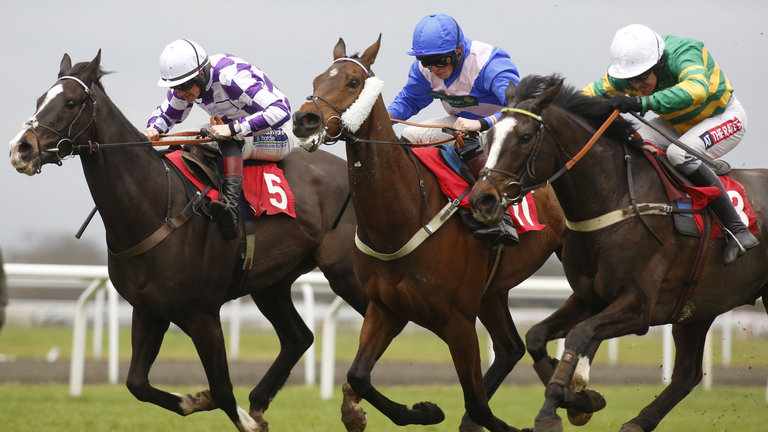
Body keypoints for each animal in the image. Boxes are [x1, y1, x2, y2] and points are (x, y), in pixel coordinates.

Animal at [9, 51, 368, 432]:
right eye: (40, 100)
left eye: (71, 102)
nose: (21, 148)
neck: (154, 207)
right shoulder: (148, 309)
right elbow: (137, 383)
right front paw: (199, 400)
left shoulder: (201, 314)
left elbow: (223, 388)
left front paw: (239, 417)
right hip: (271, 283)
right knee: (299, 337)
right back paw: (261, 400)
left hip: (348, 274)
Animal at [292, 36, 568, 432]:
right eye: (317, 80)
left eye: (352, 82)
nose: (304, 120)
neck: (403, 217)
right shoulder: (386, 308)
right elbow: (358, 375)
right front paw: (422, 411)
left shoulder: (458, 321)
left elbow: (477, 403)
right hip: (491, 291)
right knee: (509, 348)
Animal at [468, 72, 768, 430]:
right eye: (489, 135)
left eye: (525, 137)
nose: (482, 199)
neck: (616, 200)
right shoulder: (590, 297)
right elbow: (537, 336)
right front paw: (579, 398)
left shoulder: (639, 307)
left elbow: (580, 335)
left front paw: (555, 407)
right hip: (699, 306)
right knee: (687, 374)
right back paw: (636, 422)